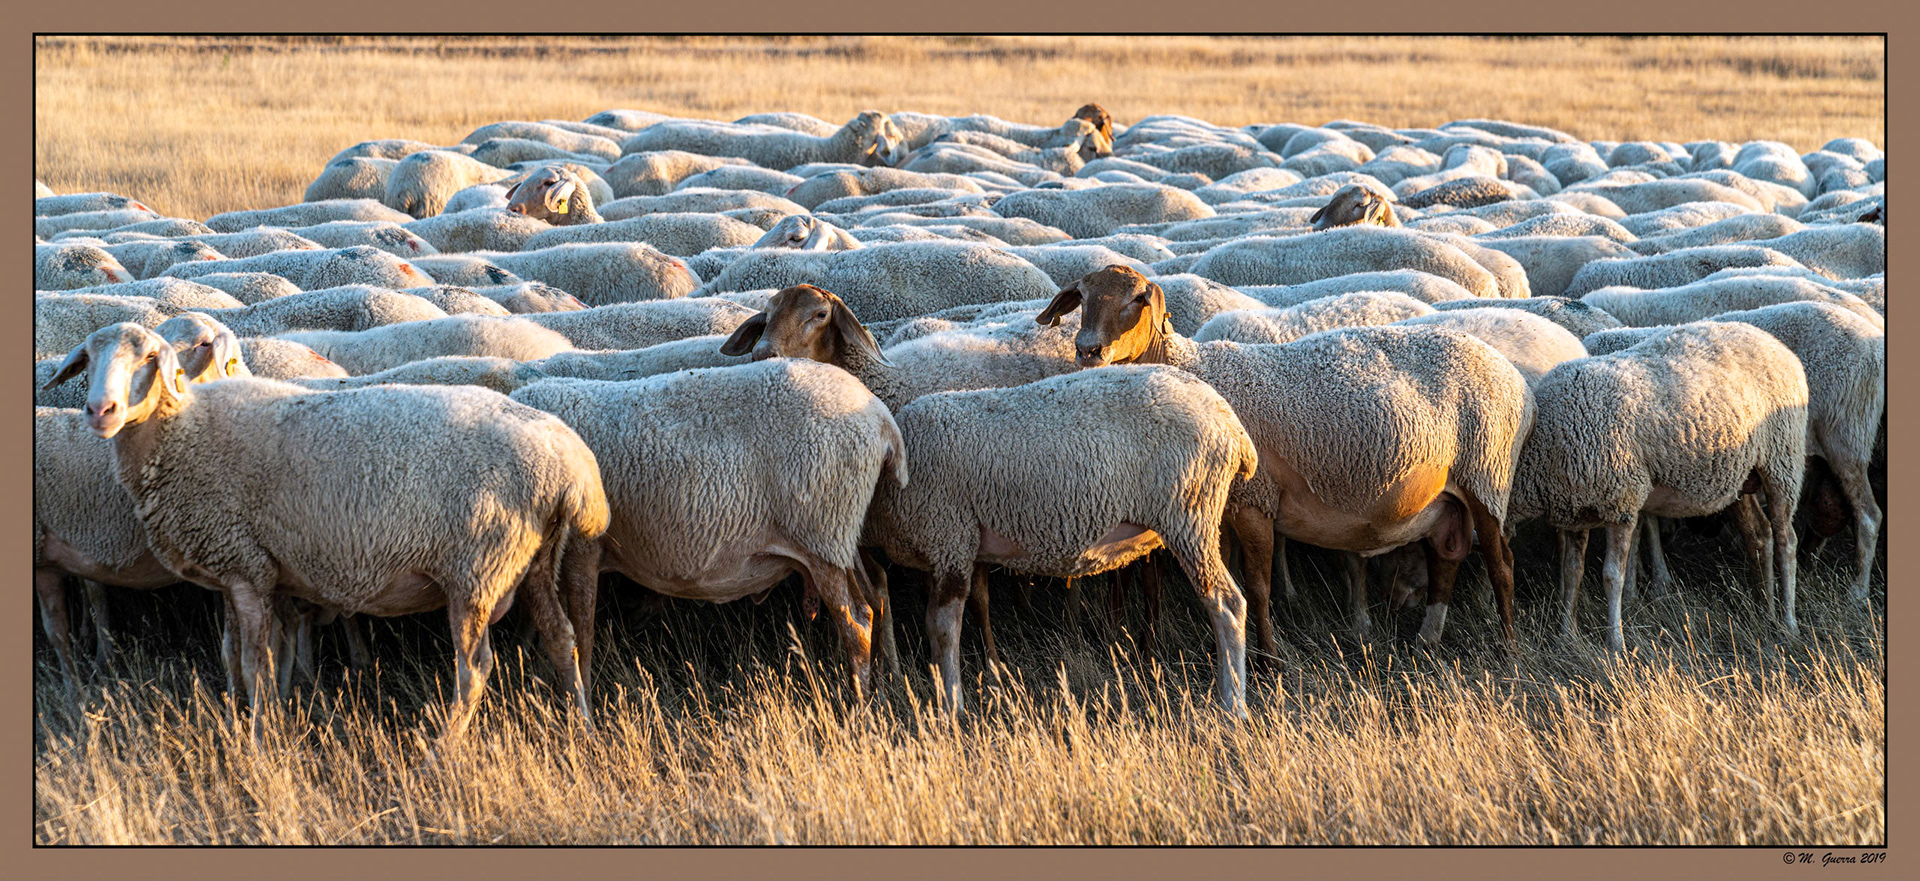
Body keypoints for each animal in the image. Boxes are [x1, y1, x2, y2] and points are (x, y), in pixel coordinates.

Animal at [44, 322, 609, 741]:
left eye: (147, 358)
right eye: (88, 360)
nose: (100, 411)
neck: (182, 431)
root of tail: (572, 465)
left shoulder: (248, 570)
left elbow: (255, 663)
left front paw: (260, 740)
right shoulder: (241, 565)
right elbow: (238, 655)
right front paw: (242, 718)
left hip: (478, 568)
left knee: (474, 670)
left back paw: (442, 751)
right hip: (534, 558)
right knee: (562, 638)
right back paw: (581, 727)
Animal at [510, 357, 906, 698]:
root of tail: (881, 418)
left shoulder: (583, 548)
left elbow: (582, 634)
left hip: (822, 534)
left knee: (857, 622)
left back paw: (860, 707)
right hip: (841, 536)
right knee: (876, 598)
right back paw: (883, 688)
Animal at [721, 284, 1257, 714]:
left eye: (818, 315)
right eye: (765, 316)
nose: (764, 356)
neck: (890, 403)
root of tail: (1229, 421)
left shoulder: (951, 538)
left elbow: (942, 626)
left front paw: (953, 704)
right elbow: (886, 604)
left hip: (1189, 514)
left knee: (1226, 602)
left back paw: (1231, 705)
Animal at [1036, 266, 1534, 654]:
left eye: (1137, 300)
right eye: (1082, 298)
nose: (1088, 350)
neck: (1196, 372)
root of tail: (1519, 384)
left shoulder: (1256, 500)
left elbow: (1257, 589)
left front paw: (1268, 659)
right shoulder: (1224, 509)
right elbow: (1230, 582)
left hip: (1487, 474)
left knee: (1502, 564)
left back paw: (1508, 647)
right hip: (1447, 496)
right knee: (1446, 557)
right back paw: (1428, 639)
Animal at [1512, 323, 1808, 647]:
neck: (1540, 446)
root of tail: (1776, 344)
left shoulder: (1622, 501)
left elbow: (1612, 575)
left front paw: (1615, 642)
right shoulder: (1577, 510)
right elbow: (1572, 572)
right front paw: (1566, 635)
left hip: (1782, 459)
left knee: (1787, 540)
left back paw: (1789, 623)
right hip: (1743, 475)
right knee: (1760, 534)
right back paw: (1766, 609)